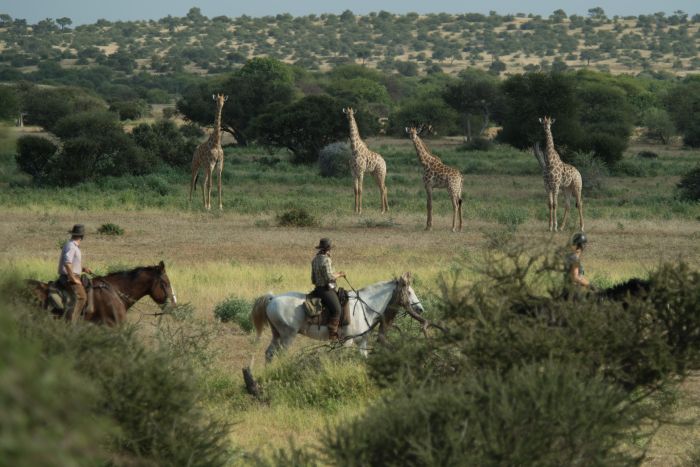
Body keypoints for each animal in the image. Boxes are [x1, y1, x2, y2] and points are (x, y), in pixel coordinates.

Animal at [253, 272, 426, 360]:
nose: (420, 309)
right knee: (280, 355)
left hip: (277, 335)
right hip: (288, 336)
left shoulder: (361, 341)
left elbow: (363, 357)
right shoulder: (347, 341)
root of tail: (272, 299)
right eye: (409, 292)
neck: (365, 307)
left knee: (269, 354)